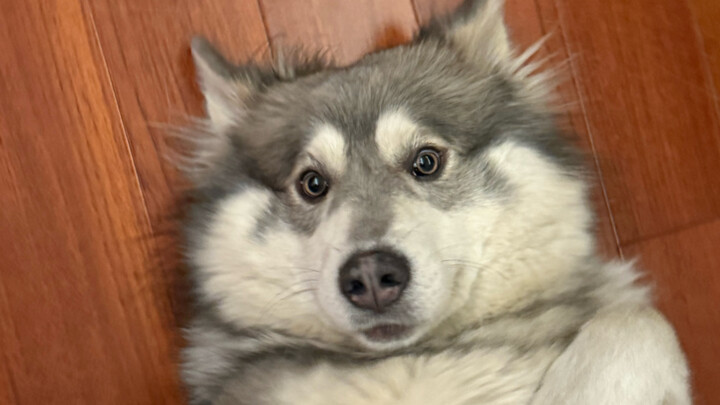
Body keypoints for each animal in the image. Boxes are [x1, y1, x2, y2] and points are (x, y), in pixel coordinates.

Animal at [178, 0, 691, 403]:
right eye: (312, 184)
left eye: (426, 161)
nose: (371, 277)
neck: (415, 359)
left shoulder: (630, 321)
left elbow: (639, 318)